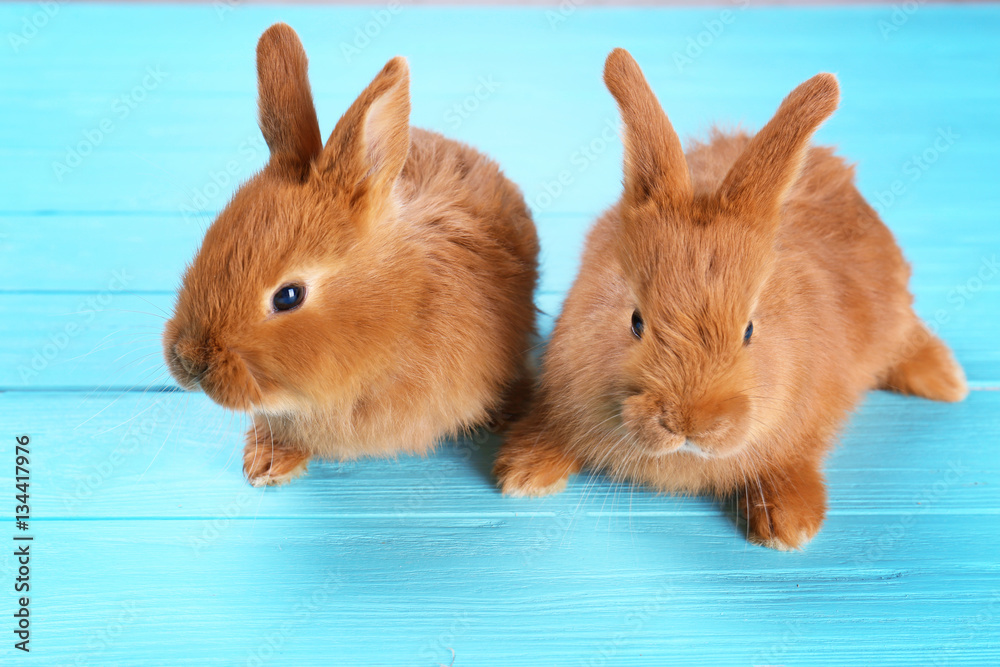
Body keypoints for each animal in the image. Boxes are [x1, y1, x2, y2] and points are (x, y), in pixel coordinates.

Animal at [494, 48, 967, 550]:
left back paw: (947, 381)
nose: (690, 424)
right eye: (636, 322)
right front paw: (524, 473)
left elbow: (792, 460)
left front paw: (789, 525)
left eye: (749, 330)